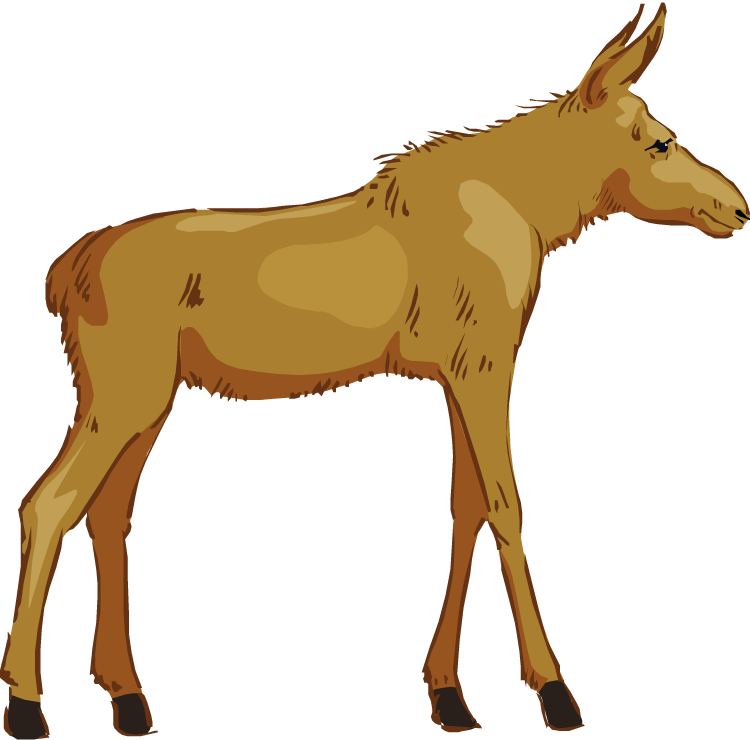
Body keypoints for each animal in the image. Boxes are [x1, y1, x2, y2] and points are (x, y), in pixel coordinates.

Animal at [3, 2, 747, 737]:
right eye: (658, 142)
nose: (736, 207)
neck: (536, 214)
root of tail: (67, 274)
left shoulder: (457, 374)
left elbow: (466, 508)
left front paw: (448, 695)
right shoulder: (484, 368)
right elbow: (506, 507)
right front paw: (553, 690)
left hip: (149, 401)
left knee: (106, 513)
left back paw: (126, 696)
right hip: (124, 394)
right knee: (49, 504)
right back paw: (25, 701)